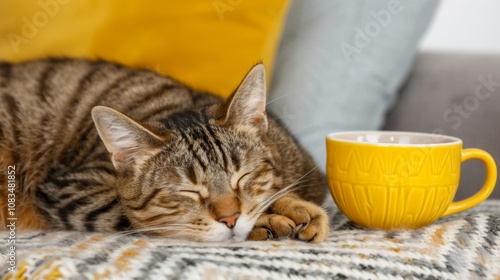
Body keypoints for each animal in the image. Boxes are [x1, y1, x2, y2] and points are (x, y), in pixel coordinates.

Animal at [0, 59, 332, 243]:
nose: (230, 218)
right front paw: (272, 218)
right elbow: (143, 219)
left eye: (242, 177)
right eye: (188, 192)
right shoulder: (66, 189)